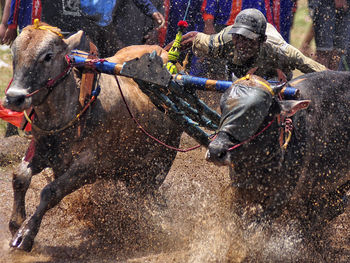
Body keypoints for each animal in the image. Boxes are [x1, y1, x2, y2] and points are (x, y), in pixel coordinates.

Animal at [2, 22, 182, 252]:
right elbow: (20, 177)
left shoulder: (88, 166)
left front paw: (25, 233)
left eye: (48, 56)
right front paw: (16, 224)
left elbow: (50, 191)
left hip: (158, 164)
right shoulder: (40, 148)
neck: (73, 108)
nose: (14, 98)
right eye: (15, 54)